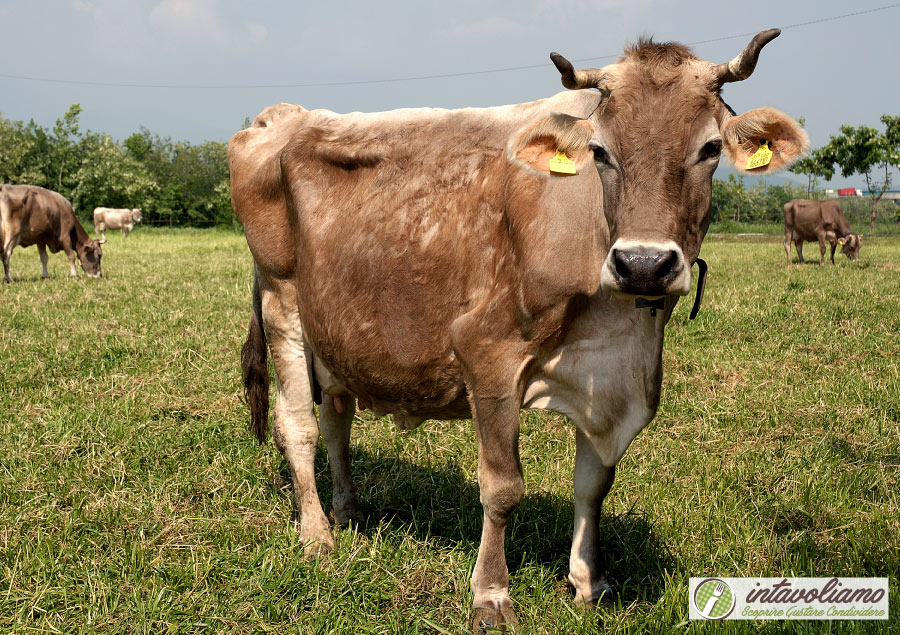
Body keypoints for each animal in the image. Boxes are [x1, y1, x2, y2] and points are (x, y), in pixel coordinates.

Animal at [232, 29, 808, 632]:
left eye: (710, 148)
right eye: (600, 151)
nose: (644, 264)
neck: (618, 321)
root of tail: (284, 116)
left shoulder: (617, 377)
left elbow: (594, 485)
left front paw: (589, 581)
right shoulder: (486, 351)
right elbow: (503, 488)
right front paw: (490, 595)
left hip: (338, 330)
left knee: (336, 422)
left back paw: (348, 512)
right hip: (282, 303)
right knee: (297, 426)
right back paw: (316, 535)